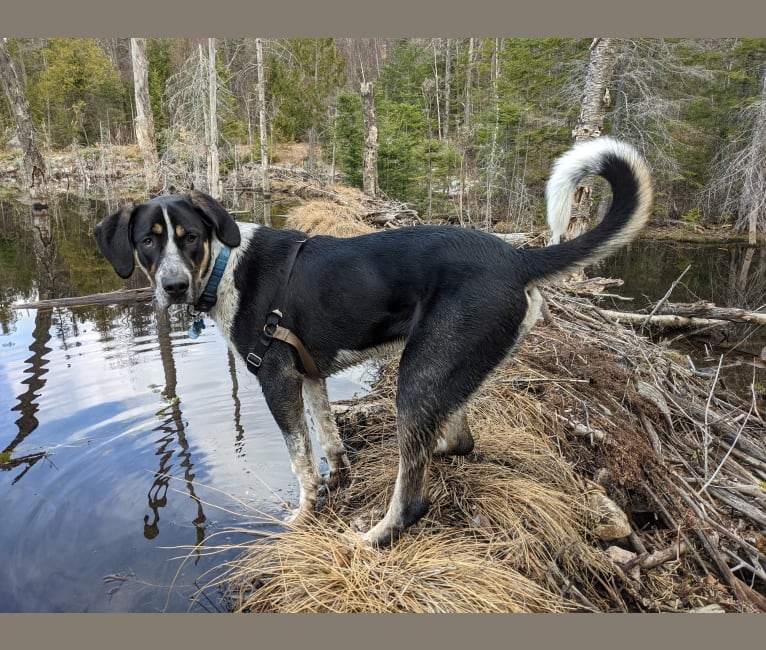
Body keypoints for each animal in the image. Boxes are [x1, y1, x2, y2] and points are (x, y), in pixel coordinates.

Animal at [94, 138, 656, 548]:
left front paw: (304, 516)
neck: (223, 267)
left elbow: (300, 460)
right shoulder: (310, 376)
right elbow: (328, 441)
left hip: (417, 373)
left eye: (189, 237)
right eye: (147, 241)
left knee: (413, 499)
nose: (172, 287)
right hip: (447, 368)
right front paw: (337, 479)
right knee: (453, 440)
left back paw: (371, 538)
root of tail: (518, 259)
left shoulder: (276, 380)